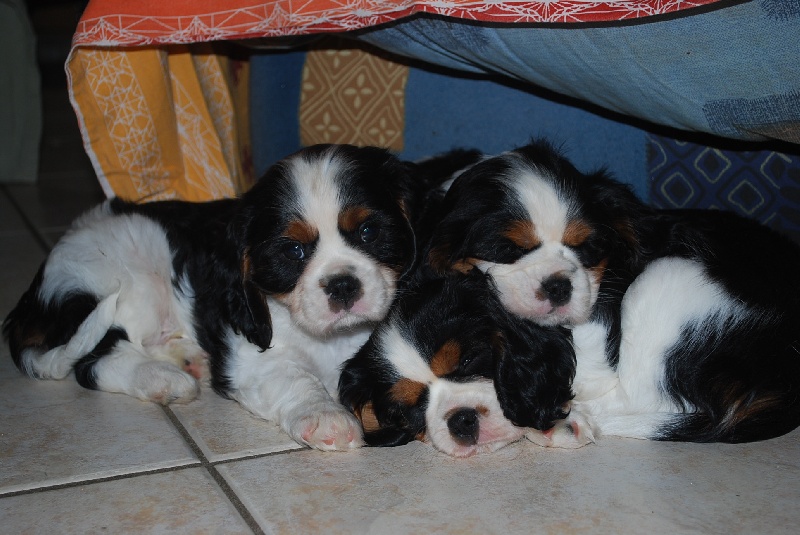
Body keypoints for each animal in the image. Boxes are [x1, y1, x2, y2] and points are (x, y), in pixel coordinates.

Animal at [4, 144, 424, 450]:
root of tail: (33, 296)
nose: (342, 285)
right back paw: (166, 379)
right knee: (95, 359)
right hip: (117, 277)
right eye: (293, 251)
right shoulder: (252, 357)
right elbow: (295, 378)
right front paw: (326, 416)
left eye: (369, 231)